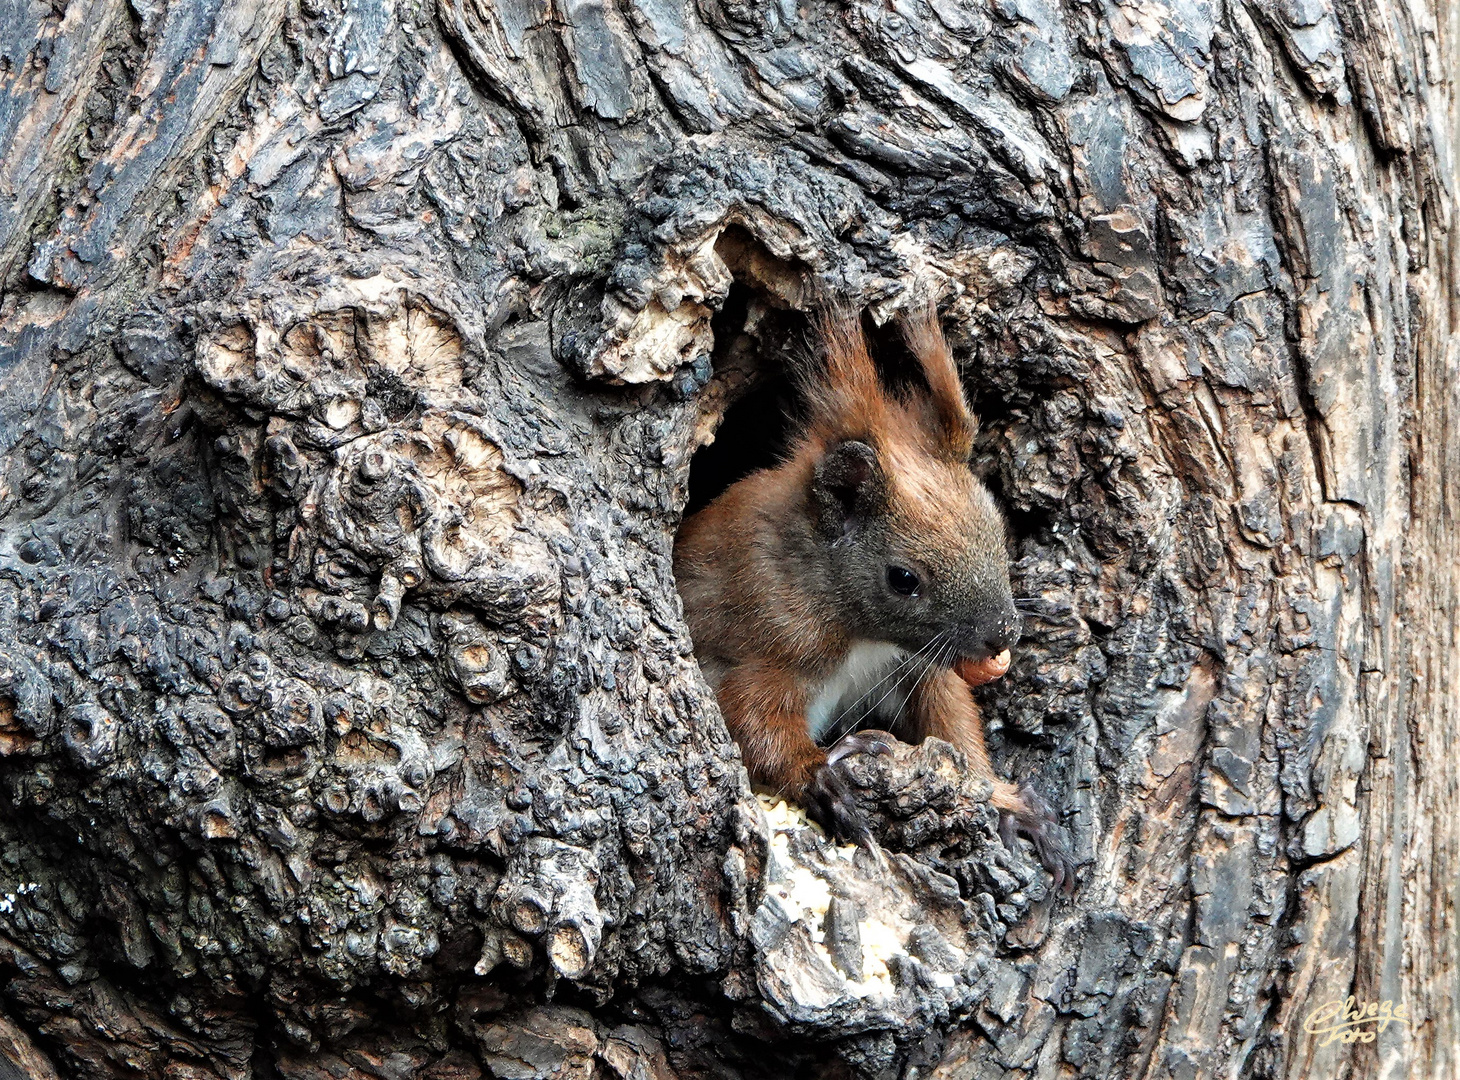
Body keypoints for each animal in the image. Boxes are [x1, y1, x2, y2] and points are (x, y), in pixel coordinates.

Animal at [674, 302, 1074, 887]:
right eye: (903, 579)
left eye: (998, 527)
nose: (1003, 635)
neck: (859, 632)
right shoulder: (762, 641)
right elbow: (752, 722)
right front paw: (822, 780)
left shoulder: (916, 667)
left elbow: (955, 730)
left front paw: (1008, 801)